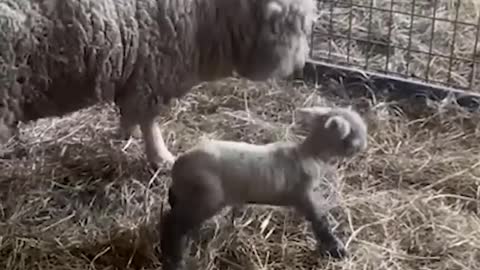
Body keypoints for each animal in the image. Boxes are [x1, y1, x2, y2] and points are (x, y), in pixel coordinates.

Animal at [0, 0, 316, 167]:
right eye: (295, 23)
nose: (300, 64)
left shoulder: (135, 73)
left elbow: (130, 114)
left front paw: (123, 135)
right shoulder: (153, 71)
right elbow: (149, 123)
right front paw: (162, 158)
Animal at [159, 105, 370, 270]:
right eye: (355, 133)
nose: (364, 147)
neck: (309, 154)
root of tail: (178, 165)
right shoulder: (305, 195)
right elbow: (320, 223)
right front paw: (337, 250)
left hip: (189, 195)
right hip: (207, 197)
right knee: (173, 223)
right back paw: (176, 260)